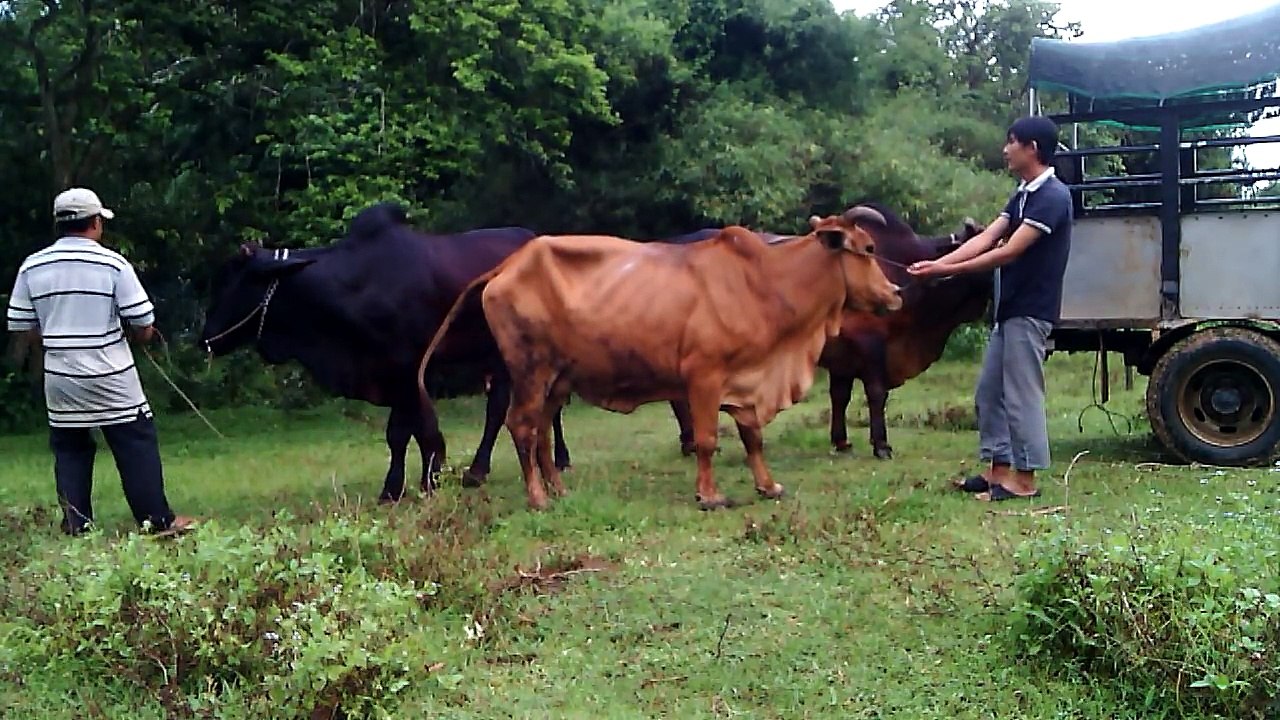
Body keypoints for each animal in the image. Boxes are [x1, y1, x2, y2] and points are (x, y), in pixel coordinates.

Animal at [198, 202, 572, 503]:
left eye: (233, 280)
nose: (205, 337)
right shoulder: (393, 375)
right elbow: (412, 430)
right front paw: (413, 481)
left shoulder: (406, 369)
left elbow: (405, 431)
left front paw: (412, 484)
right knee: (501, 407)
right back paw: (479, 471)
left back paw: (556, 460)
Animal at [414, 210, 904, 511]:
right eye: (869, 249)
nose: (896, 293)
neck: (766, 283)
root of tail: (509, 266)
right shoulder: (705, 376)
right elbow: (706, 439)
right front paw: (709, 495)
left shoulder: (747, 379)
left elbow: (753, 438)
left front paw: (768, 485)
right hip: (530, 370)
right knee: (522, 426)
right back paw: (538, 497)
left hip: (559, 377)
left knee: (542, 432)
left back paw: (559, 488)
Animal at [659, 208, 988, 459]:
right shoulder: (870, 346)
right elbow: (876, 393)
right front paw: (881, 445)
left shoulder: (843, 357)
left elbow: (839, 397)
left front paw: (841, 441)